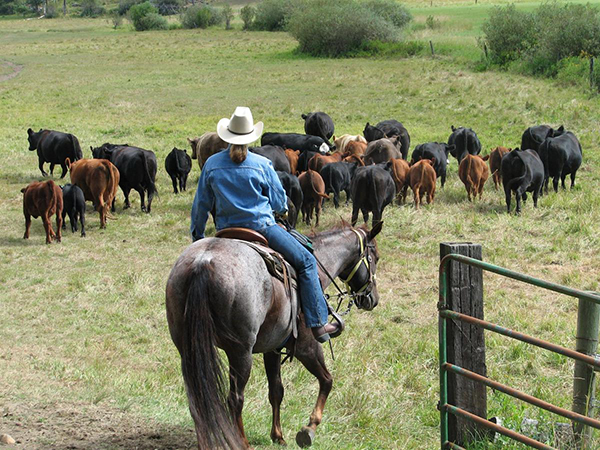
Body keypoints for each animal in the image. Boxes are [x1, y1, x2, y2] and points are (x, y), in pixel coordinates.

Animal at [168, 222, 384, 450]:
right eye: (376, 257)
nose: (372, 299)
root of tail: (203, 262)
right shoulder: (307, 347)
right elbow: (327, 380)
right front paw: (309, 429)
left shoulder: (272, 348)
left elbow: (276, 390)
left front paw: (278, 436)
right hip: (240, 353)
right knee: (235, 398)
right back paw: (242, 443)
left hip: (188, 347)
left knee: (197, 399)